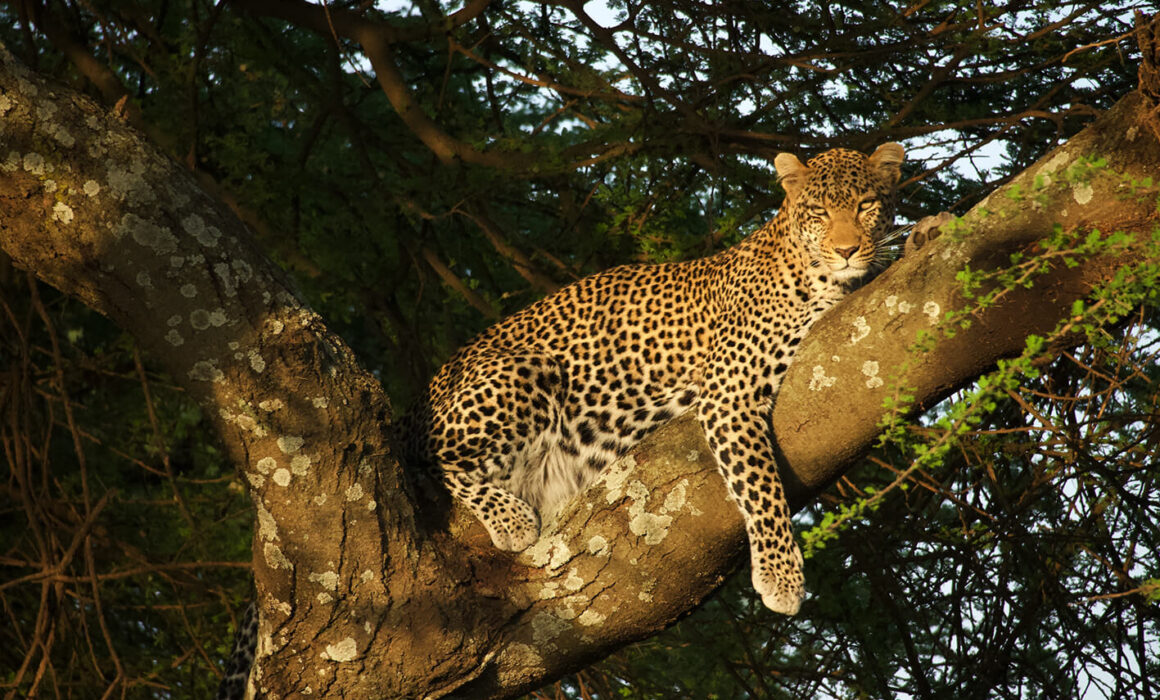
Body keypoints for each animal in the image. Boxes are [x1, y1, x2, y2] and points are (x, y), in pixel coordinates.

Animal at [404, 143, 937, 615]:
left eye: (866, 205)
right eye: (820, 212)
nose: (847, 250)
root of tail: (424, 392)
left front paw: (924, 236)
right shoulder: (728, 393)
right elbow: (761, 486)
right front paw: (781, 576)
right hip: (525, 369)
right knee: (434, 458)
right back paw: (508, 516)